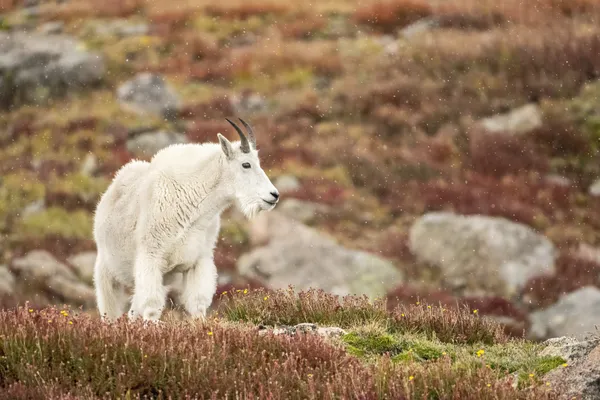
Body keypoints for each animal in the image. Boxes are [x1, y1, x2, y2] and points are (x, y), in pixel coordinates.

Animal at [92, 118, 280, 322]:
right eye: (246, 164)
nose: (274, 195)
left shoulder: (199, 260)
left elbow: (197, 304)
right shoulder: (150, 256)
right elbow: (151, 305)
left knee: (133, 309)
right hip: (106, 268)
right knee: (109, 307)